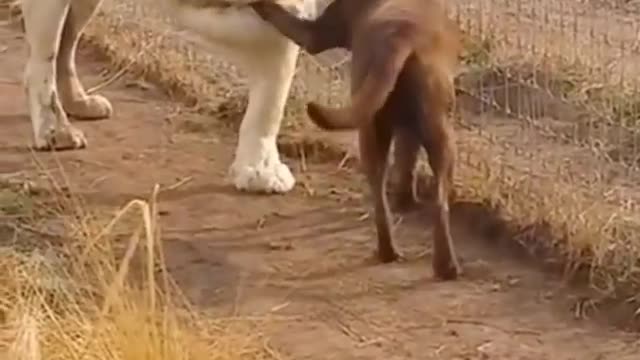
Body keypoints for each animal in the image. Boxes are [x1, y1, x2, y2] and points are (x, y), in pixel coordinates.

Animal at [13, 0, 316, 194]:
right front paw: (259, 169)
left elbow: (274, 83)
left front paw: (259, 169)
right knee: (44, 59)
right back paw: (56, 130)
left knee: (65, 44)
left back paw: (78, 103)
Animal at [249, 0, 460, 280]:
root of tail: (401, 38)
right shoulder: (408, 130)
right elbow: (407, 162)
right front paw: (405, 200)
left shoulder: (317, 34)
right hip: (437, 134)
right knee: (439, 201)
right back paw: (445, 266)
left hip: (371, 130)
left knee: (380, 195)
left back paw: (388, 252)